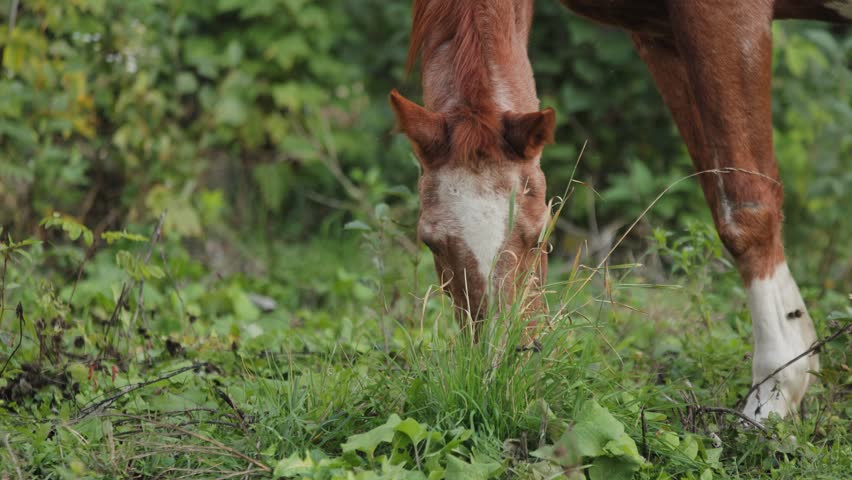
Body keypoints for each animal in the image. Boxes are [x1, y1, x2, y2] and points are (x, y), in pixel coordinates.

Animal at [389, 0, 850, 422]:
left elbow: (745, 207)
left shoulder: (727, 16)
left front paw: (773, 392)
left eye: (540, 236)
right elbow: (715, 181)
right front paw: (802, 359)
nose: (502, 376)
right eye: (430, 243)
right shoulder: (661, 36)